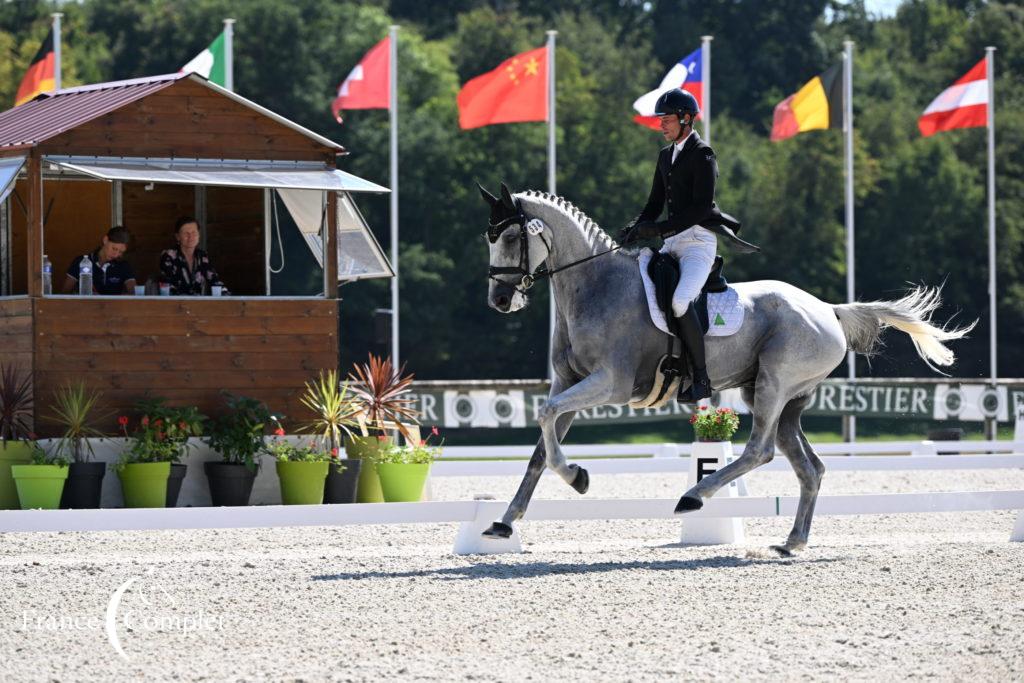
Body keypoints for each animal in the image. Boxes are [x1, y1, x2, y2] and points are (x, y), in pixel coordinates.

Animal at [479, 185, 974, 557]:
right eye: (490, 238)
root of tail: (829, 310)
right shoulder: (569, 383)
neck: (595, 286)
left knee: (760, 451)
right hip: (780, 398)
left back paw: (695, 496)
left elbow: (545, 419)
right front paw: (504, 523)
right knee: (809, 467)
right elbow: (540, 448)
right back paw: (791, 542)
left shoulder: (609, 384)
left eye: (511, 238)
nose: (500, 301)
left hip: (774, 385)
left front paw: (577, 477)